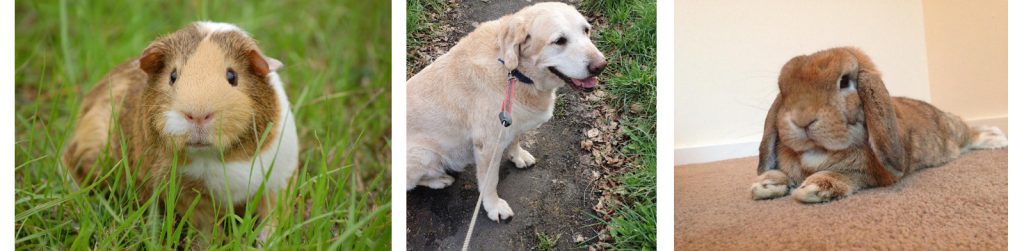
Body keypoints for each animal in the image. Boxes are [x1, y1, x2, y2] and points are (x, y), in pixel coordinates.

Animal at [62, 22, 299, 244]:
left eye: (232, 76)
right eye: (173, 76)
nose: (197, 115)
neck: (221, 158)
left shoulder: (280, 180)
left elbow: (272, 215)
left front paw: (268, 241)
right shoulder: (187, 194)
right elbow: (206, 225)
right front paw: (215, 243)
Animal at [405, 1, 602, 221]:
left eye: (586, 30)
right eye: (559, 41)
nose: (601, 65)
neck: (515, 72)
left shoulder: (510, 123)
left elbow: (515, 140)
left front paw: (518, 156)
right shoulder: (488, 147)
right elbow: (490, 182)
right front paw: (493, 206)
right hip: (424, 154)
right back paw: (439, 180)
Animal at [753, 47, 1007, 203]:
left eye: (845, 82)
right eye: (783, 90)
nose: (802, 119)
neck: (817, 152)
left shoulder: (876, 175)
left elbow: (849, 174)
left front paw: (813, 188)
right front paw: (765, 183)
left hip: (956, 130)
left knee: (971, 135)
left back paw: (996, 138)